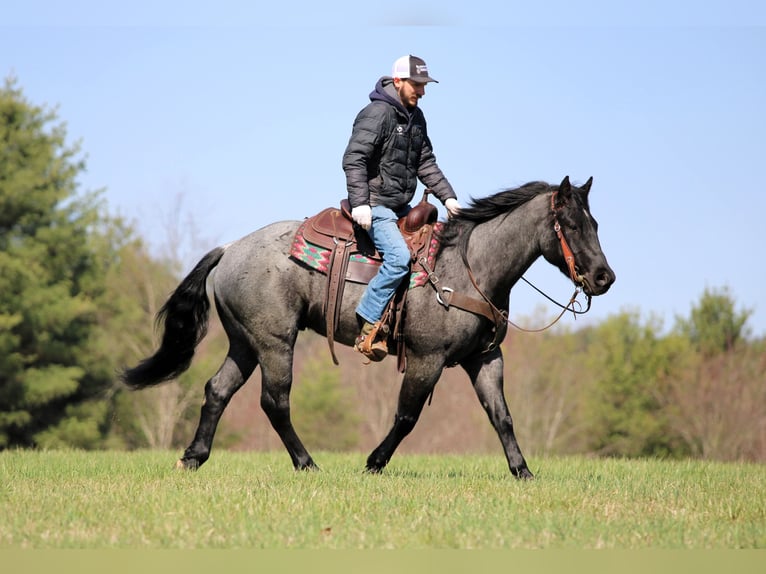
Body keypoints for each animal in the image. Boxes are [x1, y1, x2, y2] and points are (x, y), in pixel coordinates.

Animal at [122, 176, 615, 479]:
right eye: (570, 224)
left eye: (595, 222)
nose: (604, 278)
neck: (468, 266)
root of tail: (229, 248)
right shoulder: (427, 359)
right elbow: (407, 416)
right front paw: (374, 463)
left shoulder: (485, 359)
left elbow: (502, 417)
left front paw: (523, 471)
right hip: (275, 342)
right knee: (274, 402)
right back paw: (307, 464)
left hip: (245, 343)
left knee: (217, 391)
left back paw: (193, 458)